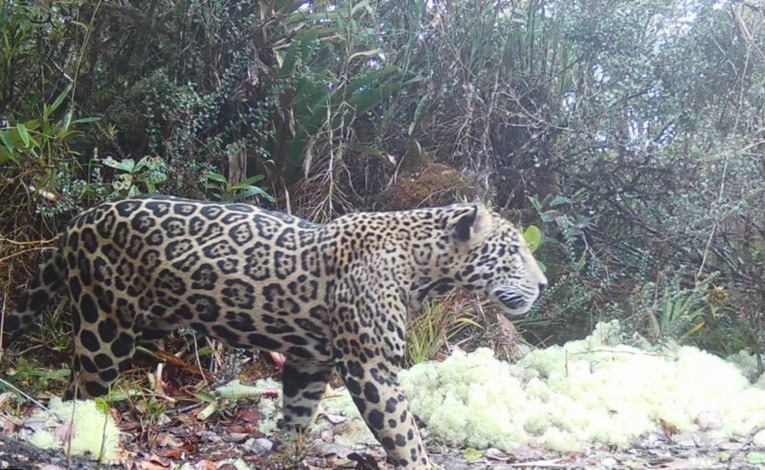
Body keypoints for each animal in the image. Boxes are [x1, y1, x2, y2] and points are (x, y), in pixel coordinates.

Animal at [1, 195, 547, 469]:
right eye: (515, 251)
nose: (543, 284)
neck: (424, 268)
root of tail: (78, 220)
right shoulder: (369, 366)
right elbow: (403, 432)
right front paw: (420, 463)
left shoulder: (311, 360)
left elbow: (298, 414)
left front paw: (286, 454)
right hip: (105, 327)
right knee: (79, 391)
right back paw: (83, 439)